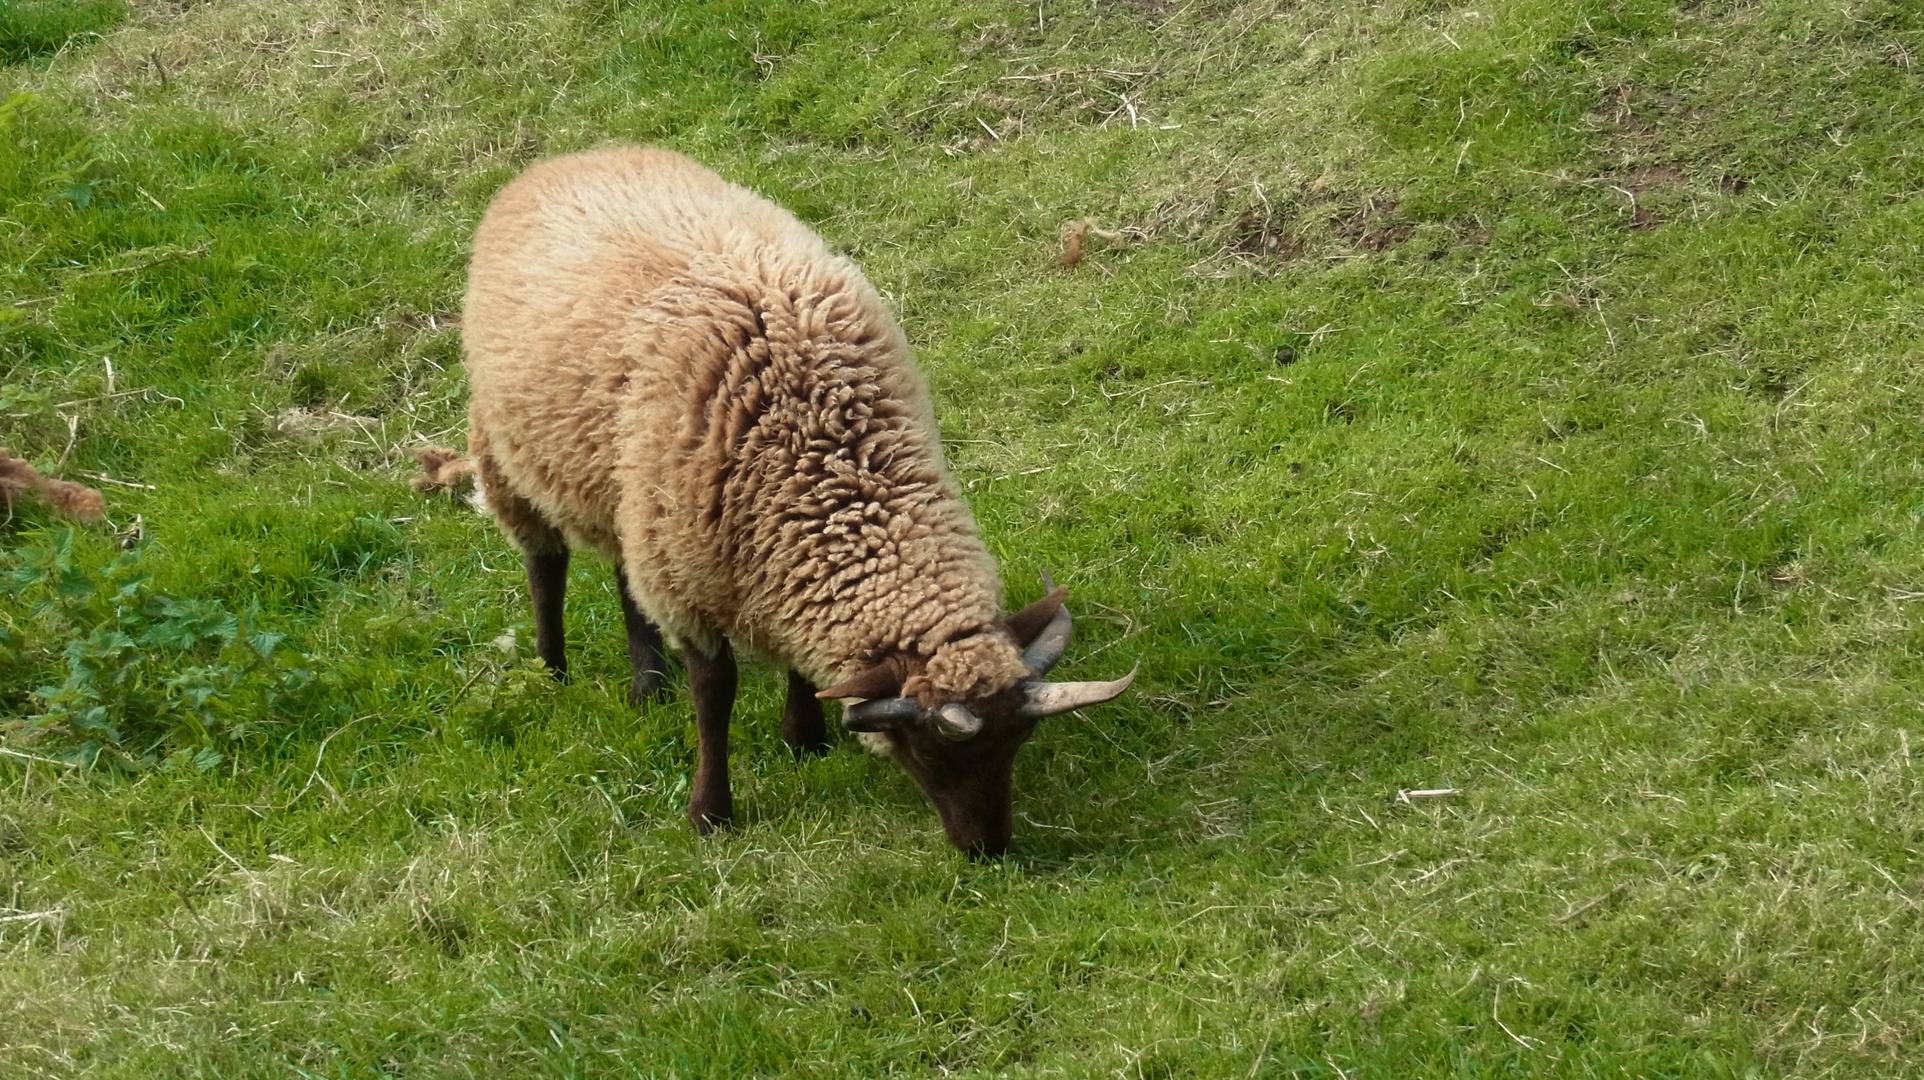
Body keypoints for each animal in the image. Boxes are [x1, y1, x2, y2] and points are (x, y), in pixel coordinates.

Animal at [459, 145, 1131, 850]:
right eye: (928, 752)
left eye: (1017, 743)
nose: (987, 849)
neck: (824, 457)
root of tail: (570, 158)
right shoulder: (690, 573)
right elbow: (715, 694)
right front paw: (710, 811)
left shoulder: (758, 549)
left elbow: (796, 665)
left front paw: (803, 737)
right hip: (506, 448)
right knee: (544, 562)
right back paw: (552, 667)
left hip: (627, 489)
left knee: (622, 569)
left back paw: (648, 684)